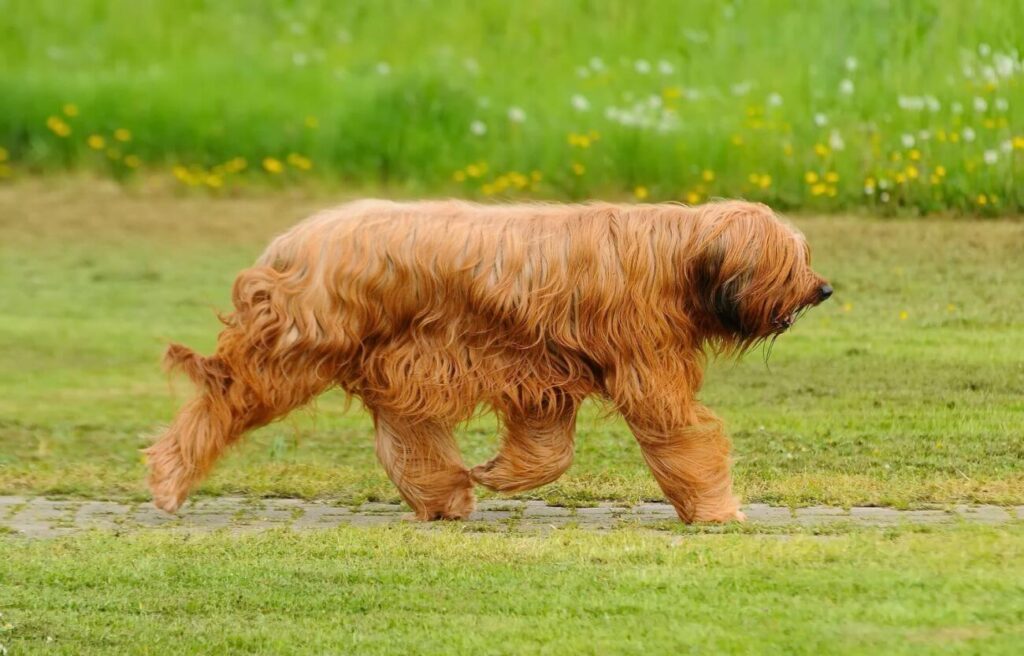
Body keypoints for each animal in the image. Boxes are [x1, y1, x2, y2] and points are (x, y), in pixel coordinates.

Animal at [146, 199, 831, 521]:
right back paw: (169, 478)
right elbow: (683, 435)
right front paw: (718, 511)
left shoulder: (542, 378)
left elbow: (547, 449)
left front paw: (497, 473)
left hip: (397, 362)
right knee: (224, 400)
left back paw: (446, 495)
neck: (676, 257)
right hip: (296, 353)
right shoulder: (643, 363)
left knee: (408, 437)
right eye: (789, 261)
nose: (823, 289)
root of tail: (292, 241)